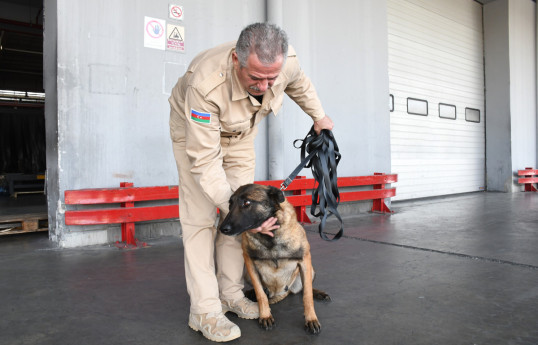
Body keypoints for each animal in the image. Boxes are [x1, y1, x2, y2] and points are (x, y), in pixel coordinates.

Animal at [217, 184, 326, 332]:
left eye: (247, 203)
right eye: (230, 204)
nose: (222, 229)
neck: (270, 236)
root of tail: (279, 293)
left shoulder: (304, 260)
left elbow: (307, 295)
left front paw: (311, 319)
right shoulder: (249, 261)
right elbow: (260, 294)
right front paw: (265, 315)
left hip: (310, 271)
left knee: (304, 288)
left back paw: (319, 293)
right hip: (247, 274)